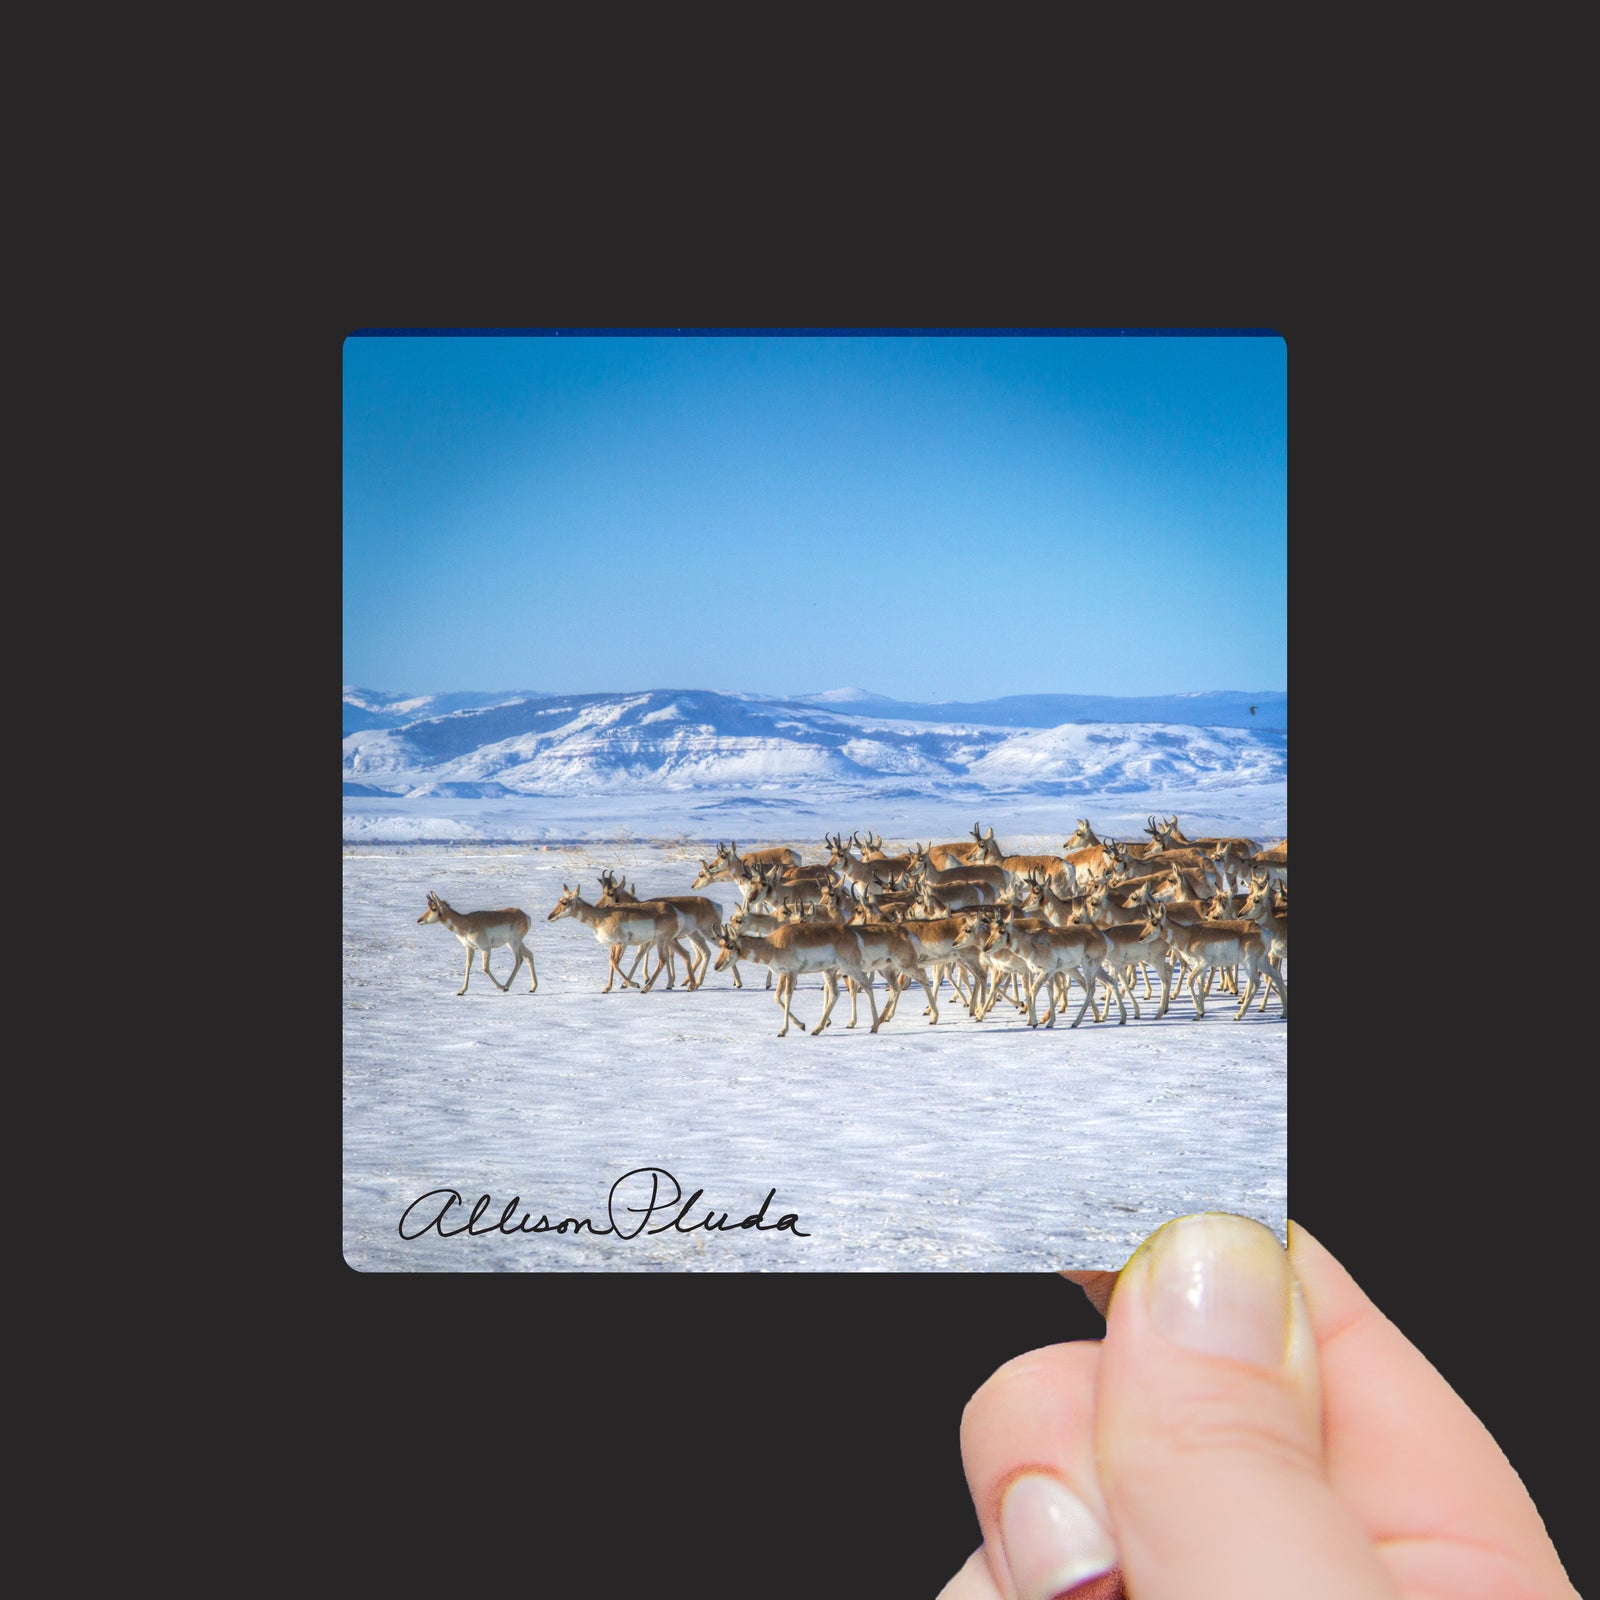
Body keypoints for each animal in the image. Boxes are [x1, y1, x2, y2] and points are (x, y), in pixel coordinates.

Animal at [546, 885, 697, 994]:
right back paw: (691, 986)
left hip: (662, 941)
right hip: (670, 941)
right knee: (685, 954)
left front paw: (633, 984)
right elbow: (611, 963)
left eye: (565, 902)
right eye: (559, 900)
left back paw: (646, 988)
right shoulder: (612, 945)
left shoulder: (621, 943)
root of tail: (676, 911)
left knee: (662, 960)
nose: (550, 916)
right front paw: (607, 988)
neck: (601, 916)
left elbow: (615, 963)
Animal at [712, 921, 879, 1037]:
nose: (716, 966)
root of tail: (852, 932)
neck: (772, 945)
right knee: (835, 994)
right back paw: (817, 1029)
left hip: (850, 968)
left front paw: (783, 1031)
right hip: (829, 972)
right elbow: (776, 997)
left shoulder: (792, 972)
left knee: (867, 986)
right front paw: (801, 1025)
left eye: (730, 946)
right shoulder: (783, 974)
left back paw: (874, 1026)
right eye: (720, 945)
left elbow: (787, 996)